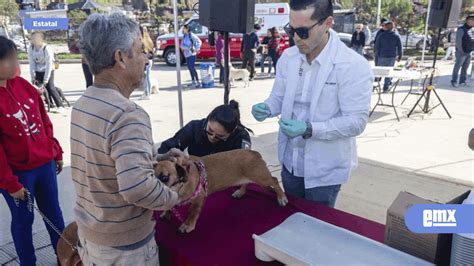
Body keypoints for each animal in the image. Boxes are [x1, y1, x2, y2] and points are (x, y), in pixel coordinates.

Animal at [156, 150, 288, 233]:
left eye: (165, 178)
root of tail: (254, 153)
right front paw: (166, 213)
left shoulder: (199, 198)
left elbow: (193, 212)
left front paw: (187, 225)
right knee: (246, 183)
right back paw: (240, 192)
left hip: (261, 178)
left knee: (275, 180)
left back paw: (282, 197)